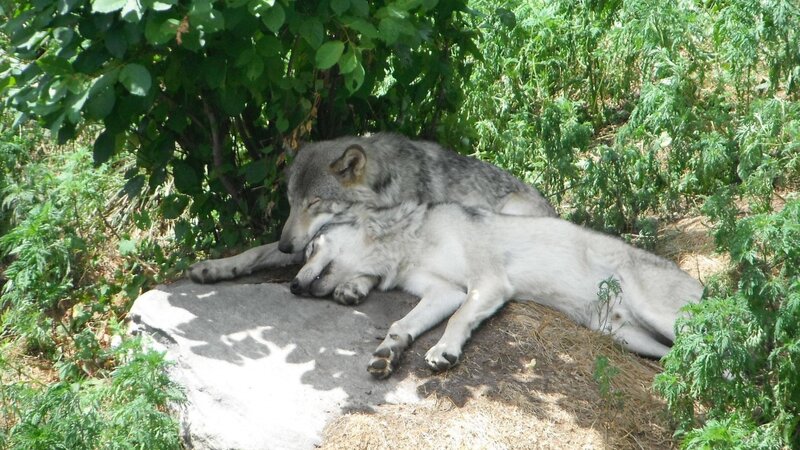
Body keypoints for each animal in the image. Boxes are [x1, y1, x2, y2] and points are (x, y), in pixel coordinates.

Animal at [187, 133, 556, 304]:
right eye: (291, 202)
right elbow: (255, 251)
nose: (286, 244)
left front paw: (355, 284)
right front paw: (215, 267)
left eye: (314, 202)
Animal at [290, 202, 703, 378]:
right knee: (677, 356)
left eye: (311, 248)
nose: (293, 286)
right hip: (625, 337)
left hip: (661, 318)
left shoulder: (485, 284)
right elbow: (400, 325)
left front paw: (443, 351)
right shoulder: (444, 292)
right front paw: (388, 353)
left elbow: (456, 321)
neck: (411, 242)